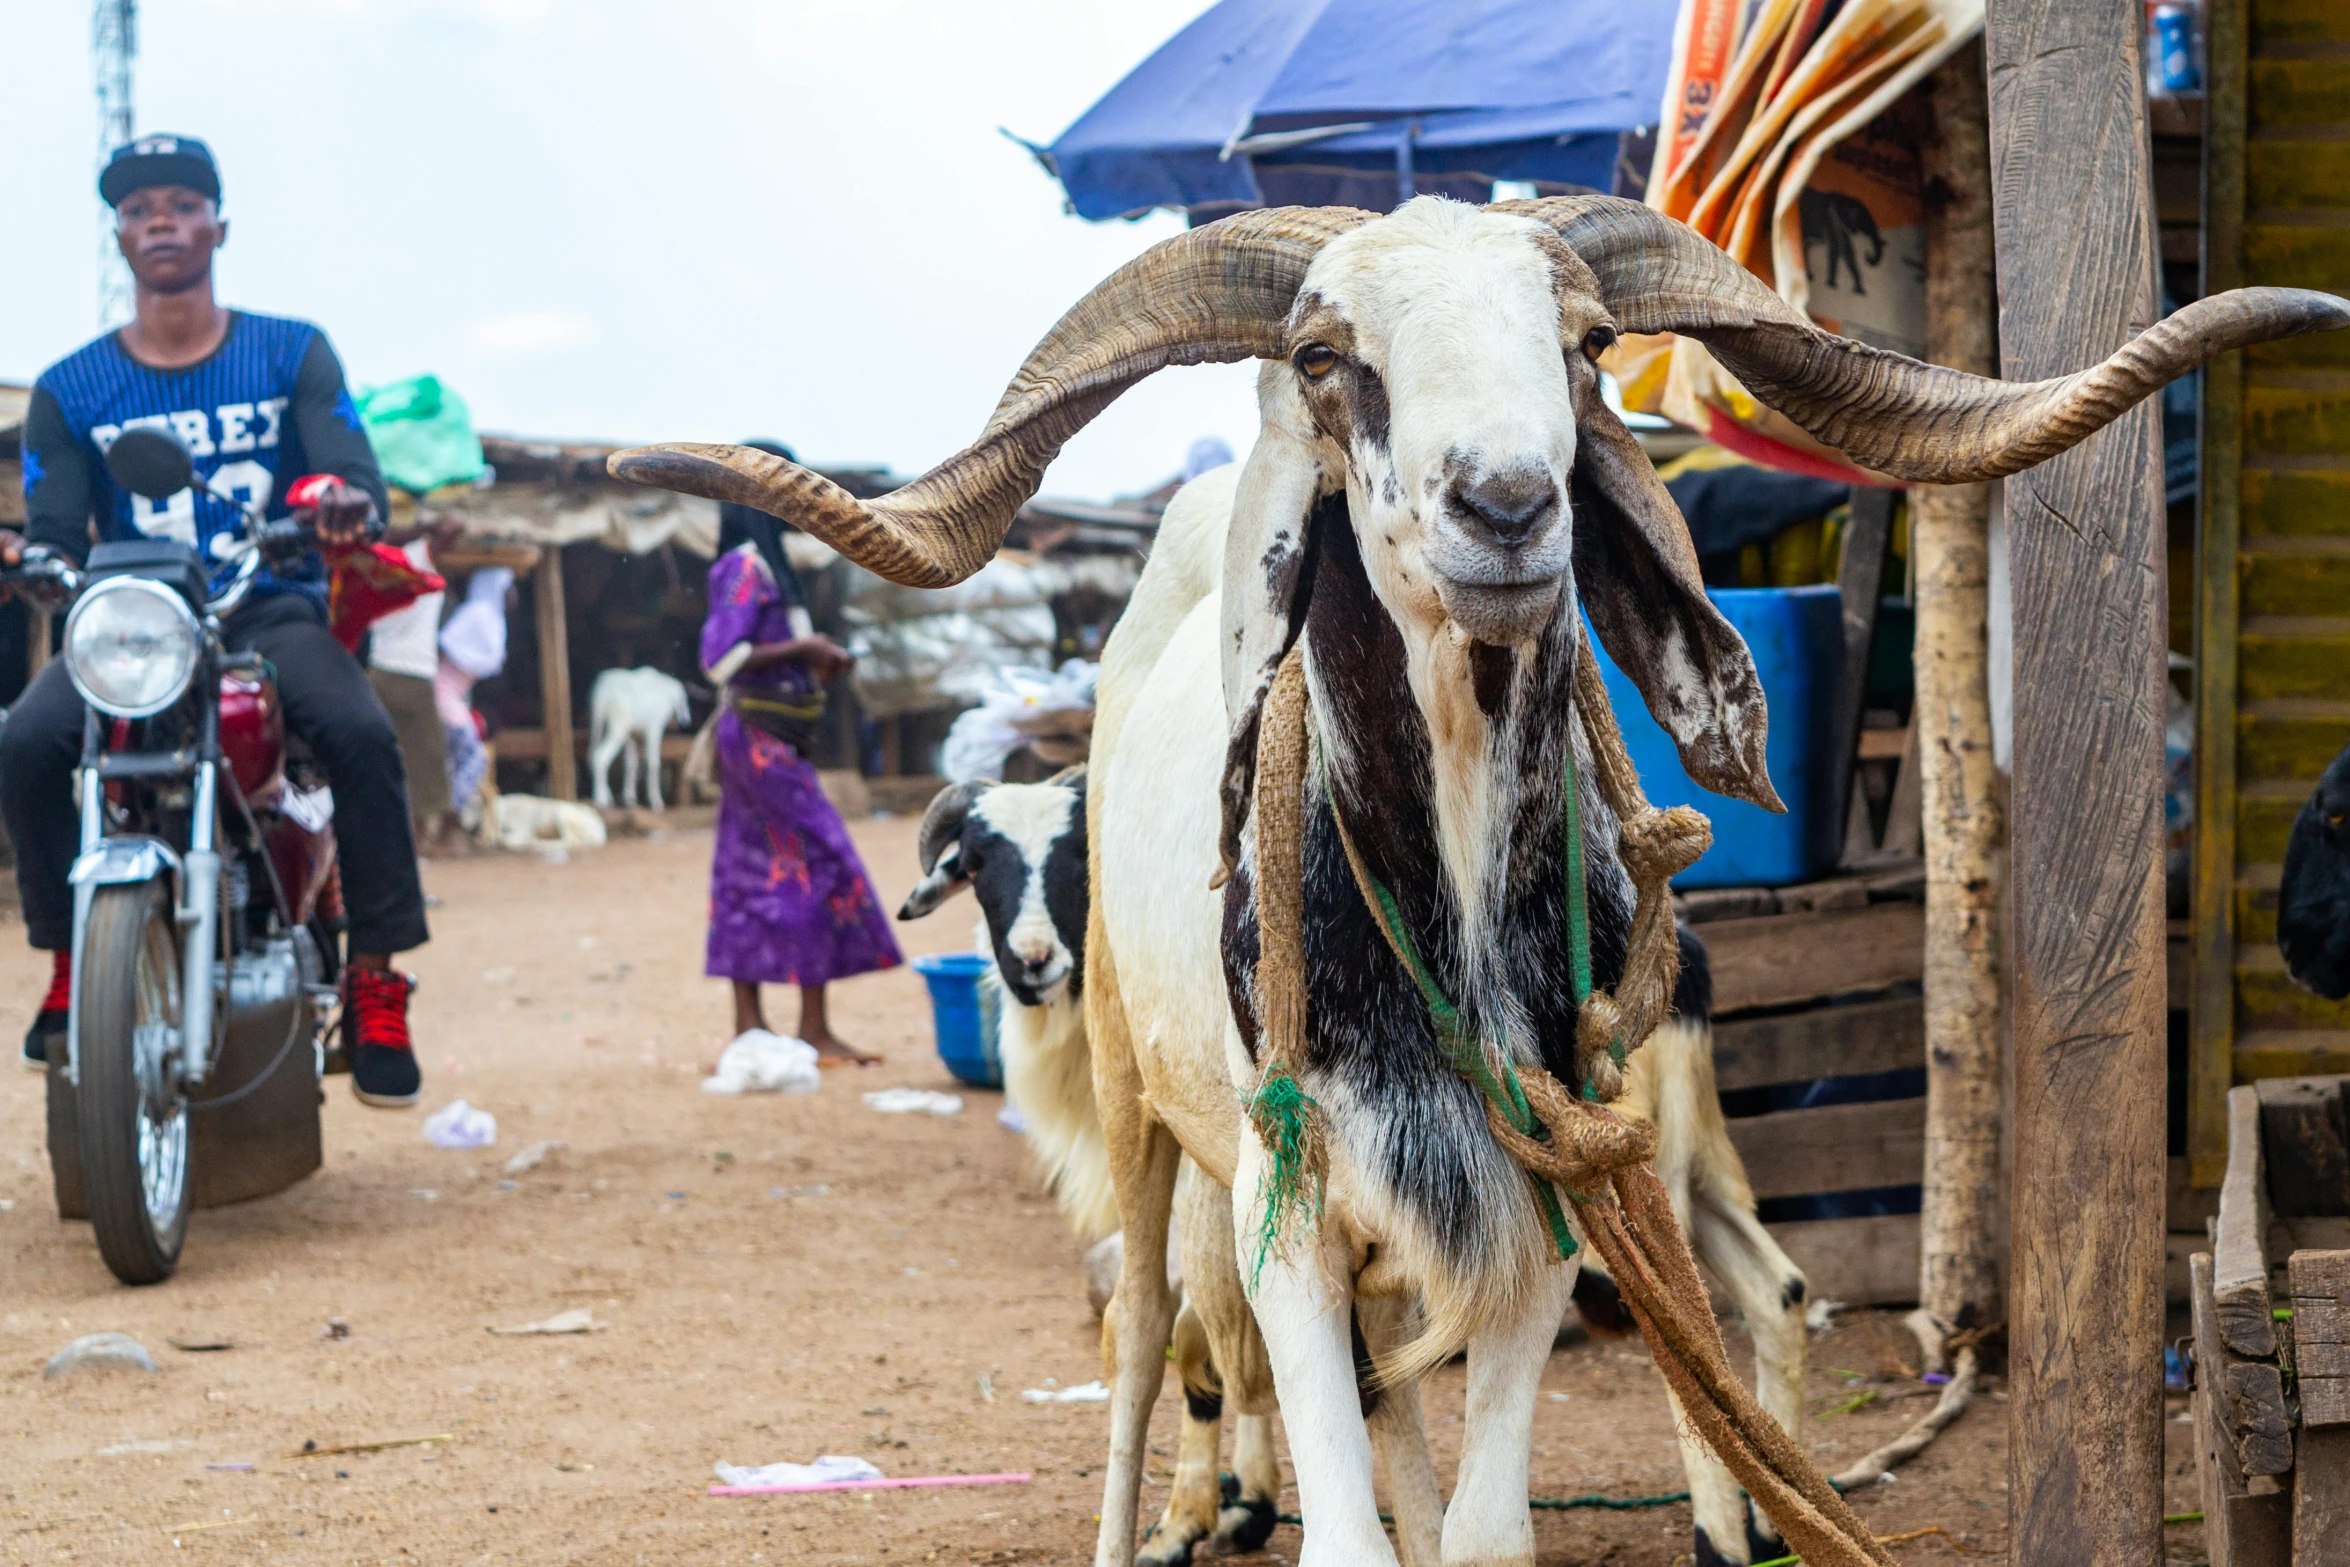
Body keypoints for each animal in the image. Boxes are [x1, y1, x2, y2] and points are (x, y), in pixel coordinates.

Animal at [592, 667, 690, 808]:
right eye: (684, 699)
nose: (686, 721)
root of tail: (602, 694)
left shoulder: (632, 736)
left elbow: (631, 763)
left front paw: (629, 798)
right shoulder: (654, 729)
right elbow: (653, 763)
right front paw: (656, 801)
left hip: (601, 726)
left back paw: (606, 794)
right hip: (617, 726)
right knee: (600, 757)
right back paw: (601, 799)